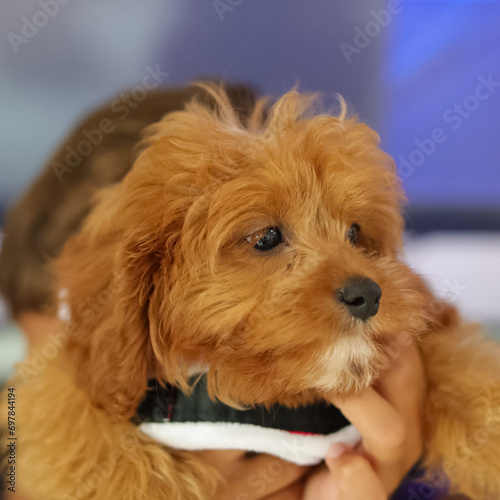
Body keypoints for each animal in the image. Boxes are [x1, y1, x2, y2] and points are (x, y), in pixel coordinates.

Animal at [3, 84, 500, 498]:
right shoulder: (81, 382)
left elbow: (455, 360)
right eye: (265, 238)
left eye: (356, 233)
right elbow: (80, 426)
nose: (368, 293)